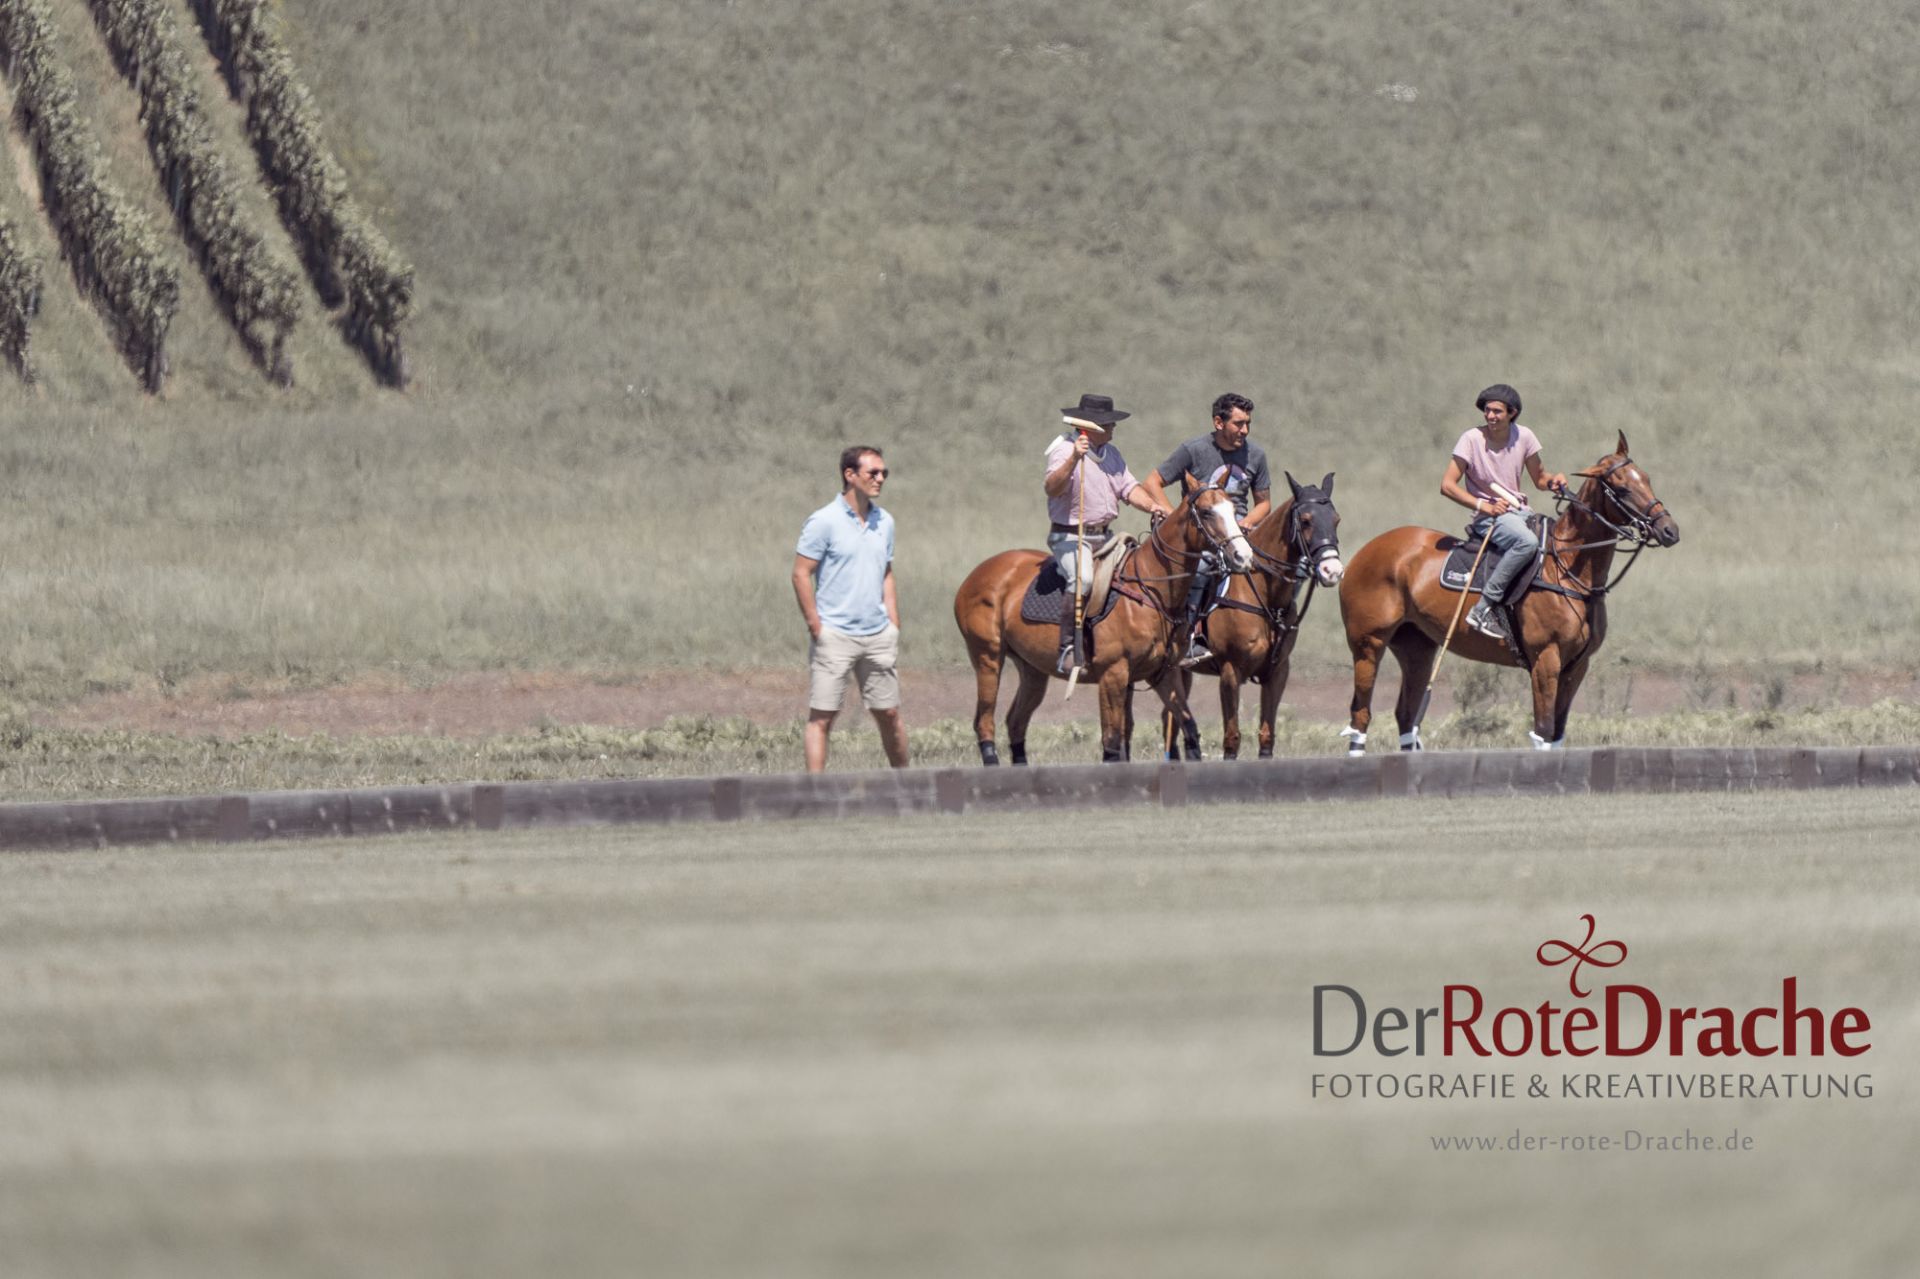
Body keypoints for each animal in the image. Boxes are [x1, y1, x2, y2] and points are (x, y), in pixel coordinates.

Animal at [954, 481, 1254, 764]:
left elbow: (1189, 727)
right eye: (1206, 511)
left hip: (1033, 670)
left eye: (1232, 508)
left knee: (1015, 722)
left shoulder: (1164, 674)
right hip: (988, 658)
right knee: (985, 723)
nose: (1243, 556)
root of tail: (974, 575)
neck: (1151, 590)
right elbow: (1111, 742)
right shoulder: (1113, 674)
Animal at [1179, 473, 1346, 759]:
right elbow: (1232, 738)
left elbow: (1267, 736)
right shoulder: (1230, 672)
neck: (1264, 594)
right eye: (1306, 520)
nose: (1332, 570)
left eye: (1336, 520)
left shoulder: (1277, 673)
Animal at [1336, 432, 1679, 753]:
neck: (1566, 569)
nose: (1669, 531)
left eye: (1646, 478)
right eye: (1621, 489)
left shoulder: (1577, 665)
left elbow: (1557, 732)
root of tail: (1359, 555)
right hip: (1368, 643)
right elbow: (1543, 730)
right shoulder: (1546, 658)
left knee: (1406, 715)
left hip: (1417, 647)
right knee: (1360, 715)